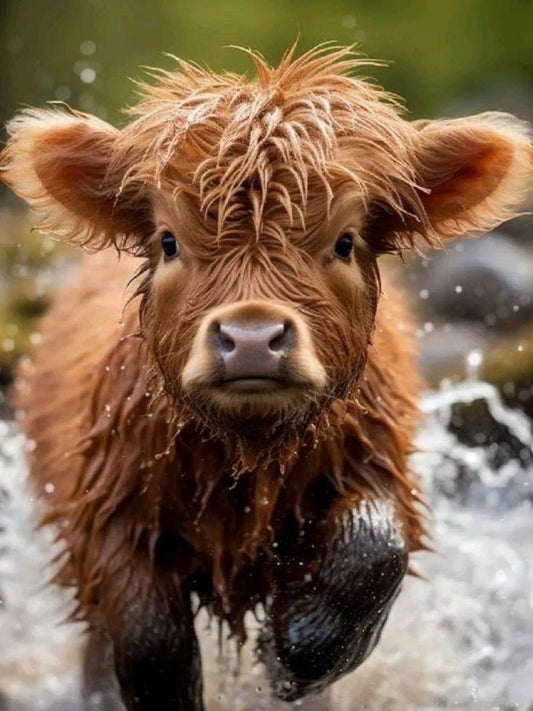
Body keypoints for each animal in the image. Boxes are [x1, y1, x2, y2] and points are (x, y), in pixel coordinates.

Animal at [1, 45, 531, 710]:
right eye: (168, 241)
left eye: (345, 241)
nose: (251, 337)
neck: (247, 459)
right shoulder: (103, 508)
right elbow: (148, 636)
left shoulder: (376, 460)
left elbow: (375, 549)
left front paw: (291, 650)